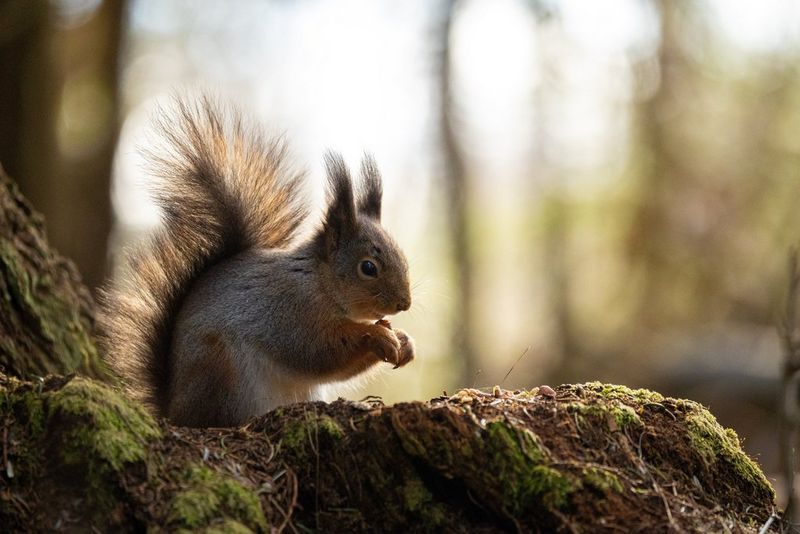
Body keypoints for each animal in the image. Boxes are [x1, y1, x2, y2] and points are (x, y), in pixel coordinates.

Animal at [100, 96, 415, 428]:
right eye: (368, 267)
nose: (404, 303)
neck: (318, 282)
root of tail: (172, 409)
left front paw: (404, 341)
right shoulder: (289, 311)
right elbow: (318, 350)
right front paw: (378, 336)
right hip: (221, 368)